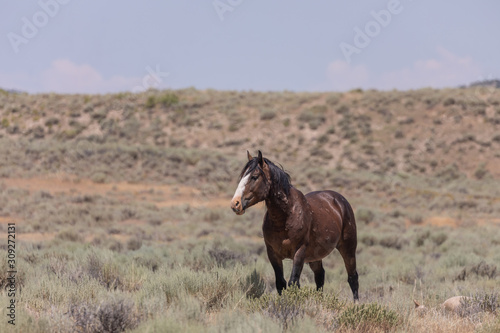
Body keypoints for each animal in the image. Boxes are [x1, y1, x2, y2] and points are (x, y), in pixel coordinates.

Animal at [231, 149, 360, 300]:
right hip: (315, 257)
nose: (235, 204)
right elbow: (281, 283)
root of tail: (339, 200)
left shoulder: (299, 252)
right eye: (242, 176)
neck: (286, 217)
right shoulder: (273, 253)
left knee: (352, 278)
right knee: (320, 276)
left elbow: (293, 282)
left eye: (254, 176)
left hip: (348, 248)